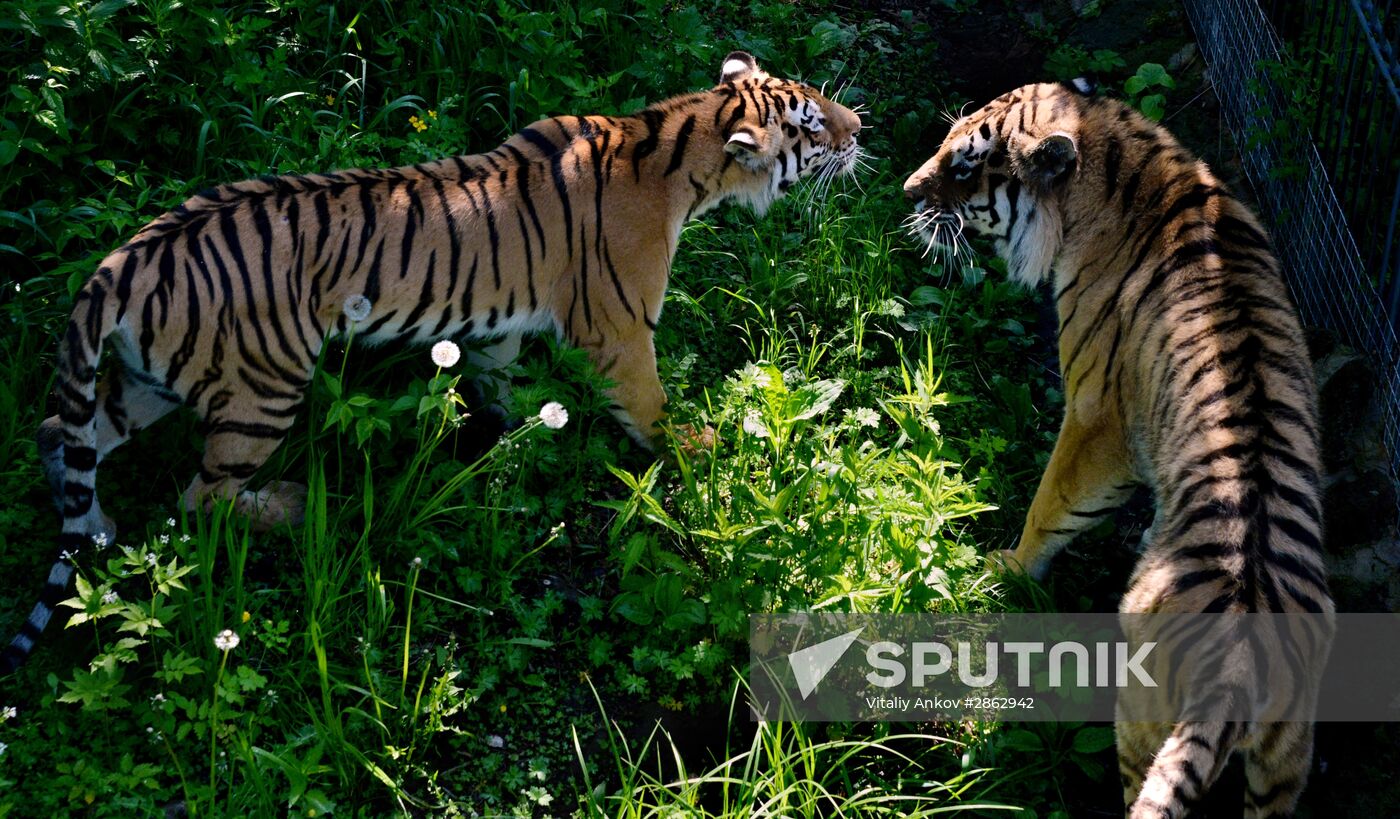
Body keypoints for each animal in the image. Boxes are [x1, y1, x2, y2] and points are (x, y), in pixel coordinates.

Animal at [2, 54, 862, 674]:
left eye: (818, 99)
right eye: (811, 123)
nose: (861, 129)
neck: (680, 147)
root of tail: (122, 260)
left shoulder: (497, 328)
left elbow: (499, 389)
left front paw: (500, 452)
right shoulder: (620, 329)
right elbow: (651, 410)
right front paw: (699, 457)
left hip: (147, 380)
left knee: (58, 431)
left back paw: (97, 528)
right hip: (265, 385)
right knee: (201, 497)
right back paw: (294, 506)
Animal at [901, 79, 1338, 812]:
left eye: (963, 167)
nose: (907, 191)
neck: (1124, 156)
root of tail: (1238, 673)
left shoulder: (1094, 415)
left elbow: (1051, 503)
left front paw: (1007, 568)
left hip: (1140, 713)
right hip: (1286, 760)